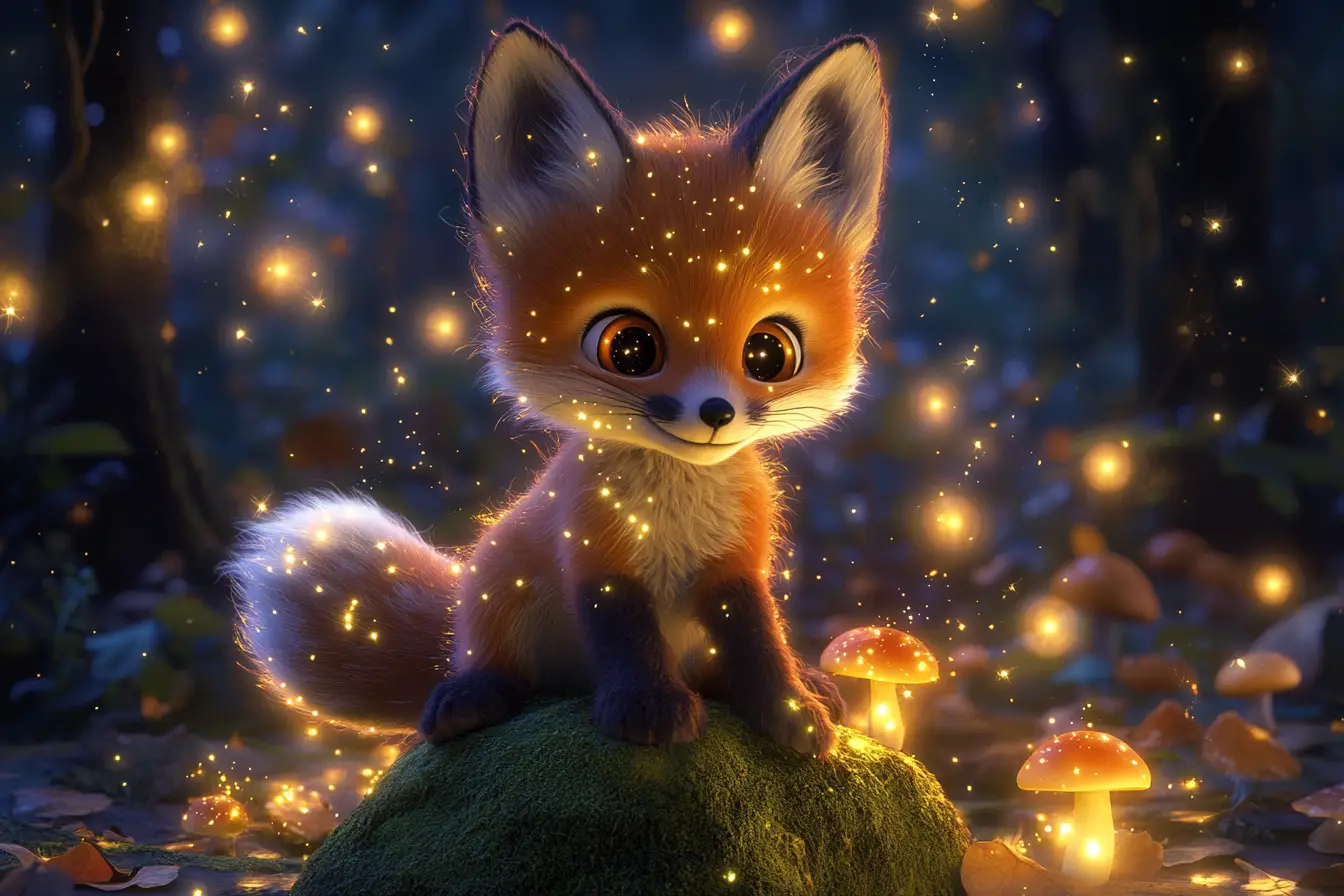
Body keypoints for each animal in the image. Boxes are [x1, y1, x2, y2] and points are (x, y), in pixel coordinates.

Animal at [225, 20, 889, 757]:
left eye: (770, 352)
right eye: (629, 348)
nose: (716, 412)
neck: (675, 512)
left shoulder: (736, 563)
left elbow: (760, 640)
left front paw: (791, 708)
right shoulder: (596, 553)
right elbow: (628, 637)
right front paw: (648, 708)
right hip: (498, 590)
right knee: (499, 667)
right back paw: (469, 696)